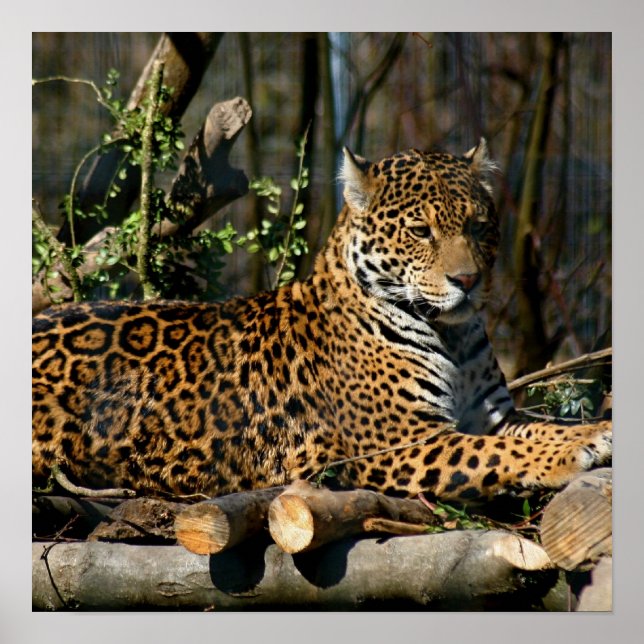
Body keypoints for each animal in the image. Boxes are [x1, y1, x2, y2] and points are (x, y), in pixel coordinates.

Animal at [32, 140, 611, 503]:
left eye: (480, 225)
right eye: (420, 231)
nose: (467, 280)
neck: (453, 332)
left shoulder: (492, 415)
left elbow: (537, 427)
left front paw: (592, 429)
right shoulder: (400, 443)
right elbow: (502, 451)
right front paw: (580, 446)